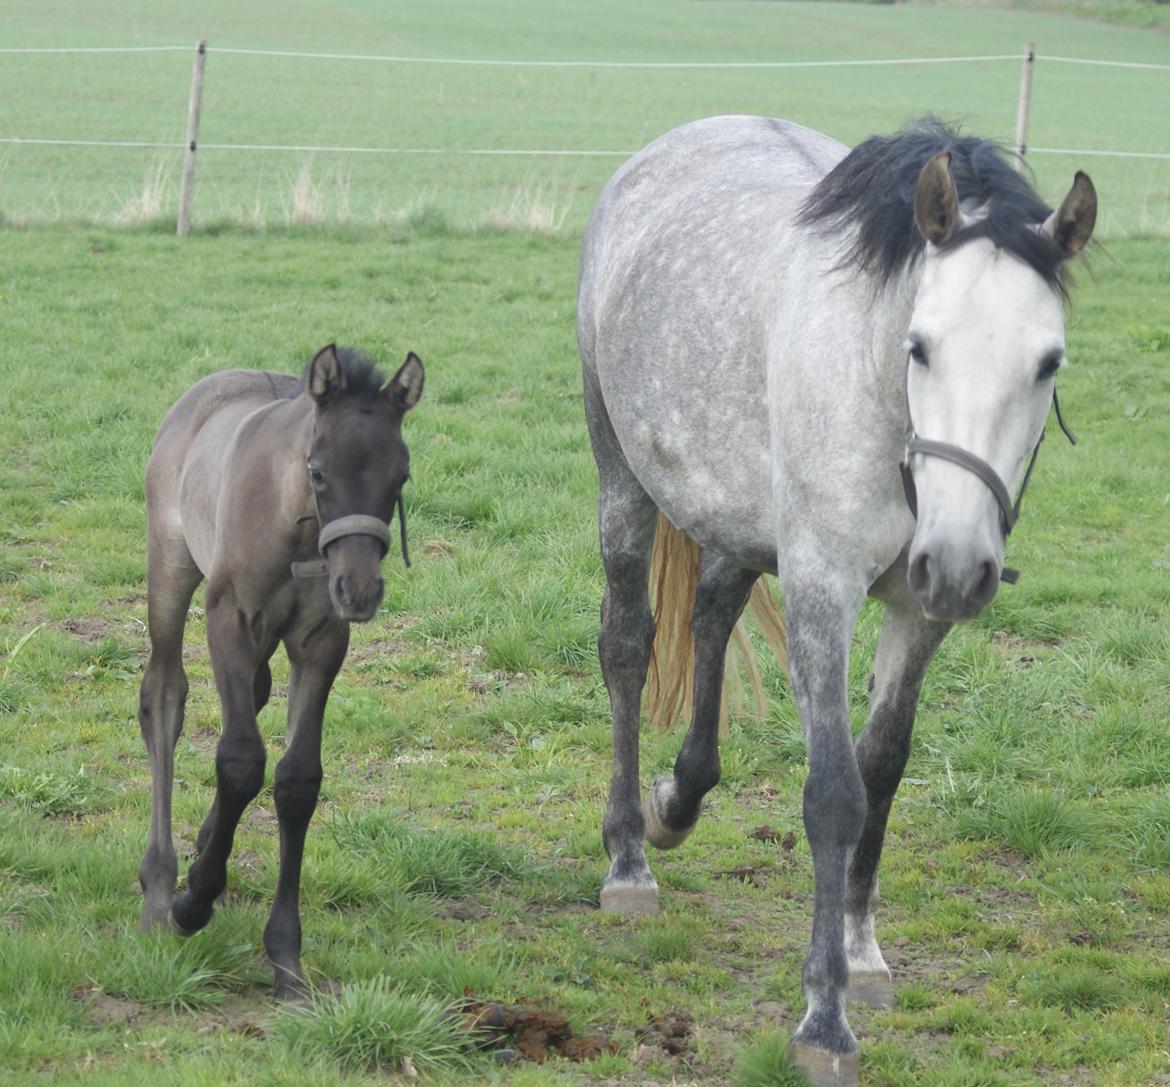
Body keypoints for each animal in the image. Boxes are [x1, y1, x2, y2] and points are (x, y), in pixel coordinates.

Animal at [136, 344, 423, 996]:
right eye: (318, 471)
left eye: (400, 476)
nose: (360, 589)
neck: (296, 534)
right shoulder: (230, 619)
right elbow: (241, 761)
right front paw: (193, 903)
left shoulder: (322, 641)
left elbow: (297, 780)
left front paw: (286, 959)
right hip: (171, 565)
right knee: (164, 695)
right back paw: (160, 885)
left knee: (253, 692)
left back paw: (200, 849)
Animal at [575, 114, 1095, 1081]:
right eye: (921, 346)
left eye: (1048, 362)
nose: (959, 562)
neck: (882, 402)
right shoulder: (823, 587)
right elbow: (835, 794)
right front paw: (825, 1015)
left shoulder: (918, 611)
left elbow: (883, 767)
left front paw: (862, 952)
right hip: (622, 475)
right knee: (628, 643)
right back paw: (630, 855)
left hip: (740, 514)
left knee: (712, 610)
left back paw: (678, 801)